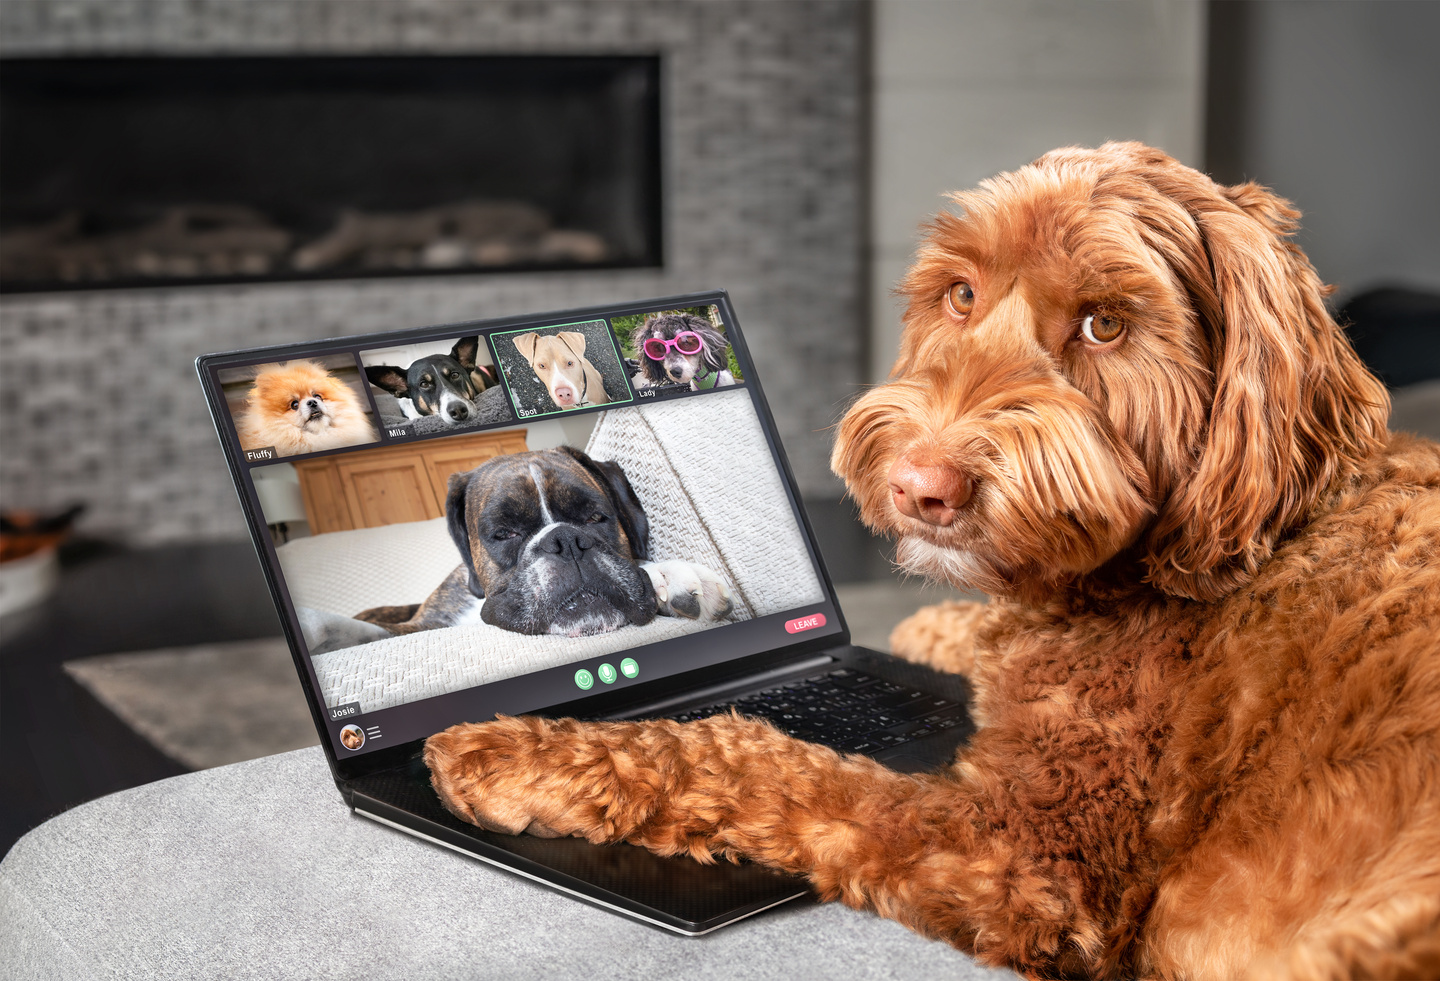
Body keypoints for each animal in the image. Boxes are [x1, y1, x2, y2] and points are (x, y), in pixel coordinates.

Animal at [420, 145, 1434, 979]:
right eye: (961, 294)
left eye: (1106, 324)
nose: (921, 485)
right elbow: (975, 641)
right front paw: (938, 627)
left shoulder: (1024, 853)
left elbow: (762, 759)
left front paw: (513, 750)